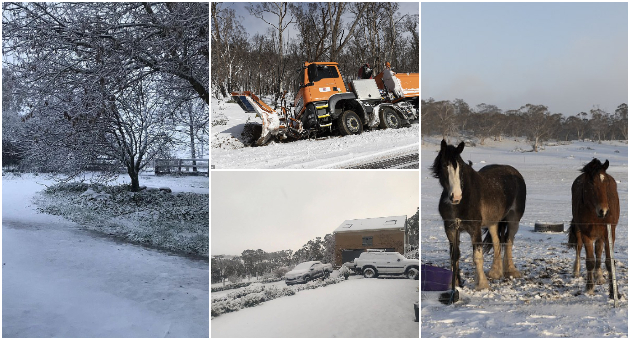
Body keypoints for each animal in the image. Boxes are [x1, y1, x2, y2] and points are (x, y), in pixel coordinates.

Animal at [432, 139, 532, 290]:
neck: (462, 201)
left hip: (514, 219)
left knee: (508, 242)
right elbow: (454, 255)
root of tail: (515, 173)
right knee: (497, 242)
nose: (456, 196)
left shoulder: (475, 229)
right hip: (493, 222)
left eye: (461, 168)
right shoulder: (450, 229)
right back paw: (495, 272)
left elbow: (477, 257)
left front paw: (482, 285)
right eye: (444, 165)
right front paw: (455, 284)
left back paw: (511, 271)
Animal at [568, 157, 624, 298]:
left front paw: (613, 292)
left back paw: (598, 276)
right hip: (580, 231)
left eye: (606, 183)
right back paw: (576, 270)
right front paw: (589, 288)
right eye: (591, 183)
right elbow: (590, 261)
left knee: (598, 250)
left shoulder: (610, 233)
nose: (603, 210)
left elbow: (609, 262)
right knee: (579, 247)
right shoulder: (586, 235)